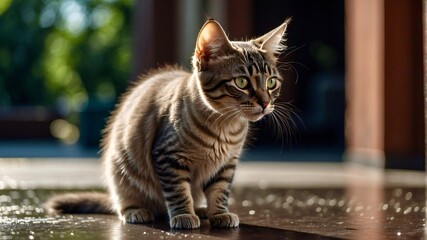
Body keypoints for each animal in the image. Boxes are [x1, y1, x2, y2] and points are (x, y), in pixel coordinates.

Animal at [46, 18, 292, 229]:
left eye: (271, 83)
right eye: (241, 82)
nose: (265, 103)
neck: (225, 126)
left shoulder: (226, 164)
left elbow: (220, 190)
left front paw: (219, 213)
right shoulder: (168, 156)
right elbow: (179, 192)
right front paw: (184, 215)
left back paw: (200, 209)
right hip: (119, 172)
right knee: (124, 203)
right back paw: (137, 211)